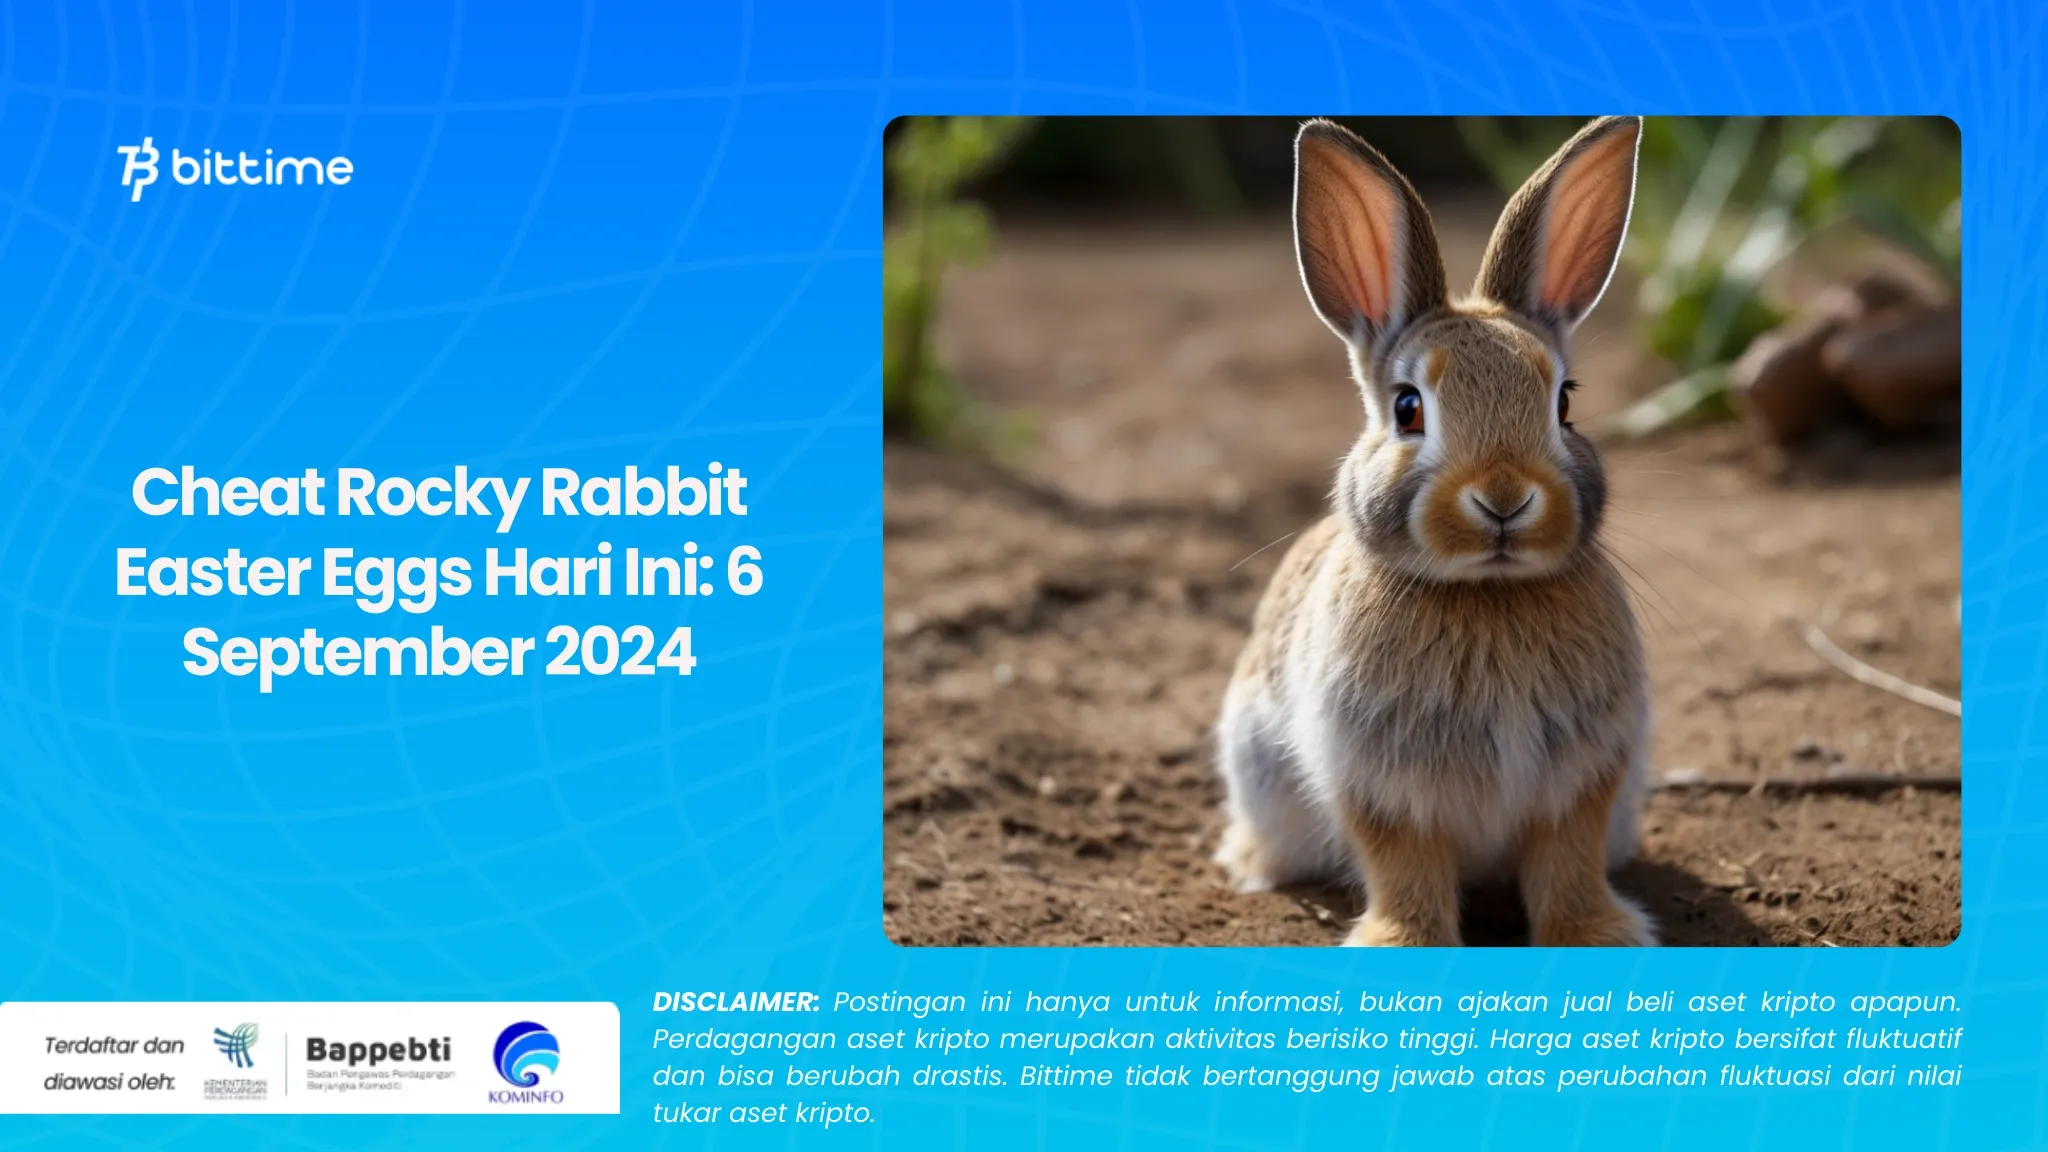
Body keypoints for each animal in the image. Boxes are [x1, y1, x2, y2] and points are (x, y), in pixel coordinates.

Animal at [1212, 116, 1655, 948]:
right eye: (1408, 408)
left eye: (1564, 402)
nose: (1505, 500)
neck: (1486, 593)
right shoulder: (1383, 789)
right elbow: (1404, 866)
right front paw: (1401, 943)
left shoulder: (1583, 778)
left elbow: (1568, 860)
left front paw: (1599, 935)